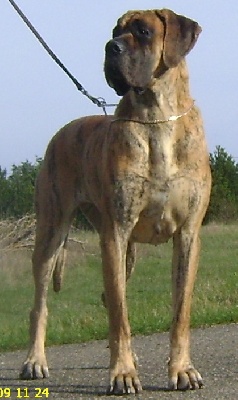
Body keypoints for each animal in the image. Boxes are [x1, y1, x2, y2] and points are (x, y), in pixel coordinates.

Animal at [19, 7, 211, 396]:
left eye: (143, 31)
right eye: (114, 31)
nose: (111, 47)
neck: (156, 117)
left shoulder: (188, 234)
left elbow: (180, 311)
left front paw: (182, 370)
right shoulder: (115, 234)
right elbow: (120, 314)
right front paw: (122, 374)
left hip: (128, 253)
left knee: (109, 296)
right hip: (51, 234)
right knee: (41, 305)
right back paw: (34, 361)